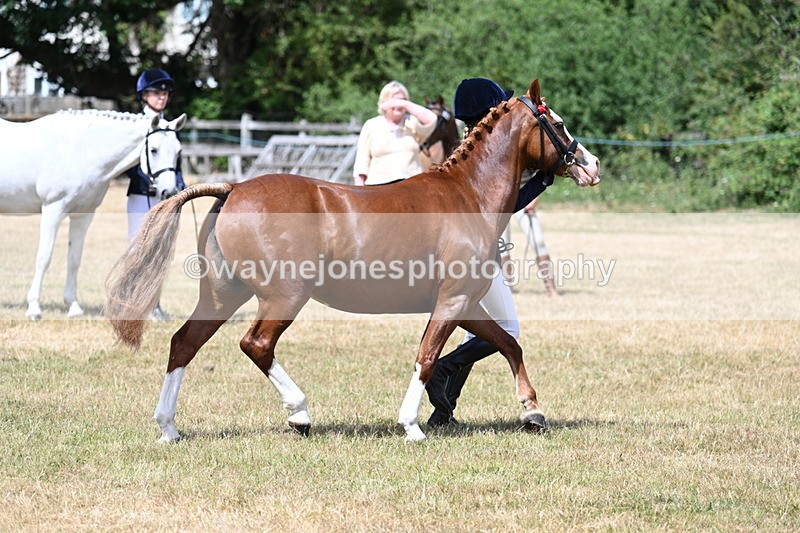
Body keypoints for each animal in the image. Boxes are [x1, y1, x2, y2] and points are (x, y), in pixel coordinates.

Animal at [0, 109, 186, 319]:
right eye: (154, 150)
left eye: (178, 152)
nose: (169, 192)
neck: (80, 152)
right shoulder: (52, 210)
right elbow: (43, 258)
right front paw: (33, 308)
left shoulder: (82, 216)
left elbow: (74, 259)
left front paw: (73, 307)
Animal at [105, 79, 601, 442]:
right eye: (557, 123)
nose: (591, 164)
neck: (467, 196)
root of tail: (233, 189)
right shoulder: (452, 301)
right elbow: (427, 357)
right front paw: (411, 426)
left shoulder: (466, 305)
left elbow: (507, 344)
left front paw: (533, 410)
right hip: (285, 296)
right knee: (256, 344)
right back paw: (300, 414)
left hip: (223, 294)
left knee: (183, 343)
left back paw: (169, 428)